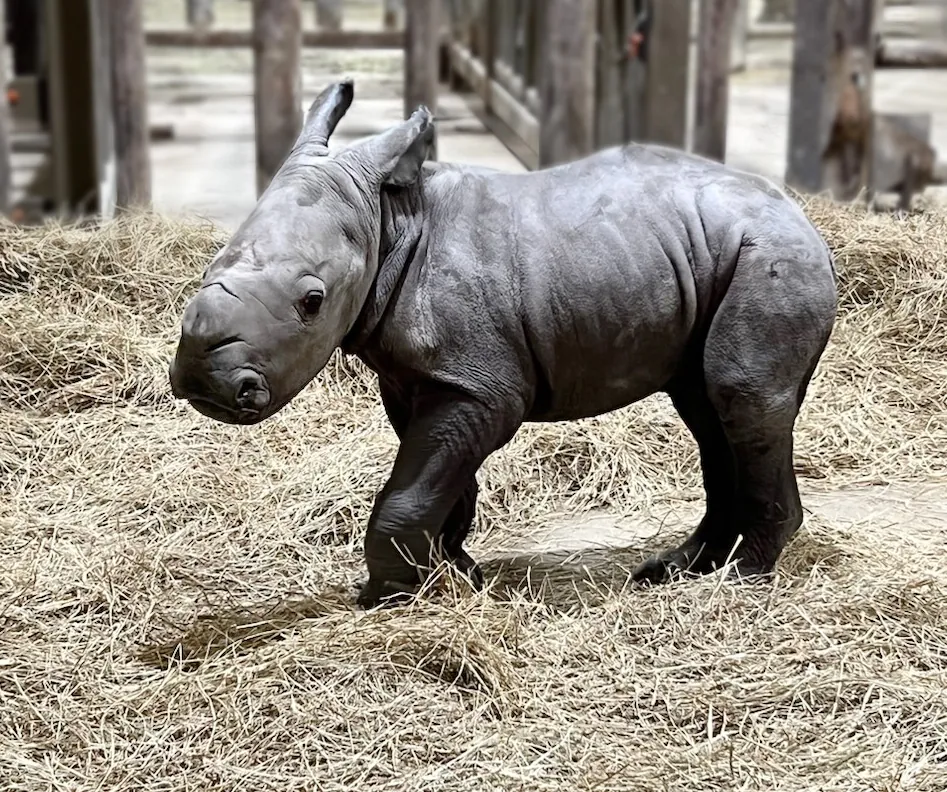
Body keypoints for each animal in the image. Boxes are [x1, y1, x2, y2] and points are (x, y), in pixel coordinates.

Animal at [168, 80, 836, 608]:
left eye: (312, 301)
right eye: (211, 264)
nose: (203, 379)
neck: (389, 220)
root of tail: (805, 219)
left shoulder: (482, 388)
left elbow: (415, 485)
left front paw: (387, 599)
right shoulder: (421, 378)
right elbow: (438, 477)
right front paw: (454, 573)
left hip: (771, 258)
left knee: (740, 397)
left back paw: (742, 581)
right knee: (705, 408)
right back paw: (678, 572)